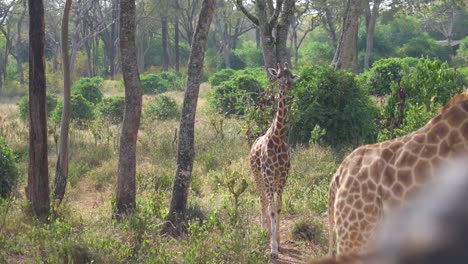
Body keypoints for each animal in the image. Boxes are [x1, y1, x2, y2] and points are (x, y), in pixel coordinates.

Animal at [249, 62, 300, 258]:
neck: (278, 137)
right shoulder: (269, 175)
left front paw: (278, 242)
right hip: (258, 176)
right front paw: (272, 248)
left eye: (291, 75)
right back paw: (263, 231)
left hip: (273, 179)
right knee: (262, 200)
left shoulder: (283, 175)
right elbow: (271, 208)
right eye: (278, 76)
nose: (288, 84)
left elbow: (278, 207)